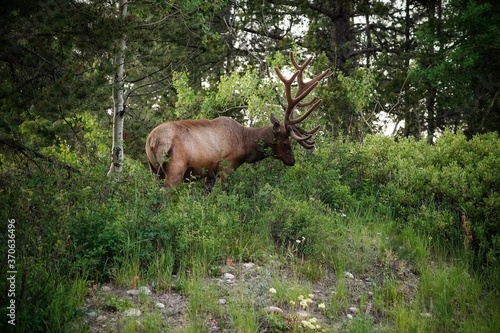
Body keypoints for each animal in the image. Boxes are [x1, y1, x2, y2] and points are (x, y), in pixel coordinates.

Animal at [146, 52, 328, 191]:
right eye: (285, 141)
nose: (292, 161)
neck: (245, 145)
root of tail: (152, 140)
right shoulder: (226, 166)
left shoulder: (210, 173)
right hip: (175, 168)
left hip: (153, 170)